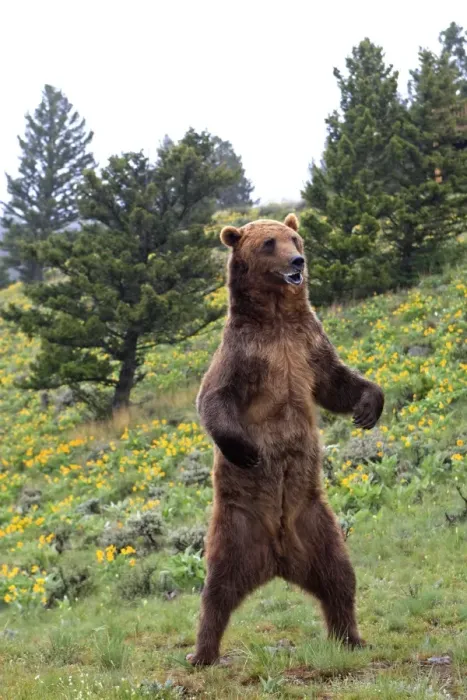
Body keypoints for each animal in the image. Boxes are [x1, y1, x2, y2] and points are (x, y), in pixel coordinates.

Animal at [187, 214, 384, 666]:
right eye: (268, 243)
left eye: (295, 237)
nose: (298, 261)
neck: (277, 320)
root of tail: (276, 559)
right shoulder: (245, 355)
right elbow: (214, 398)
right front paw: (247, 451)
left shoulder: (308, 346)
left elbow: (336, 382)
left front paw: (369, 406)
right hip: (236, 527)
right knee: (217, 591)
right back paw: (202, 653)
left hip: (316, 523)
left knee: (339, 576)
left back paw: (350, 636)